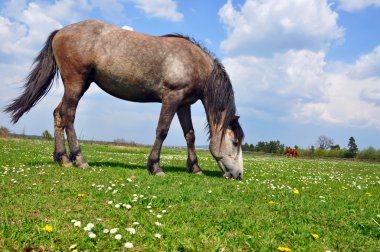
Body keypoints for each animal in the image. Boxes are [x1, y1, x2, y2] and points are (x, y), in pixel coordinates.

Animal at [3, 20, 246, 179]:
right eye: (235, 142)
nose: (238, 175)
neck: (194, 62)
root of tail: (61, 31)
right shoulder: (171, 97)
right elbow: (162, 131)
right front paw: (155, 167)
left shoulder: (183, 104)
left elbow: (190, 135)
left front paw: (195, 168)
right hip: (76, 83)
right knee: (68, 116)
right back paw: (79, 160)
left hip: (78, 85)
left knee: (58, 114)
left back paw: (62, 158)